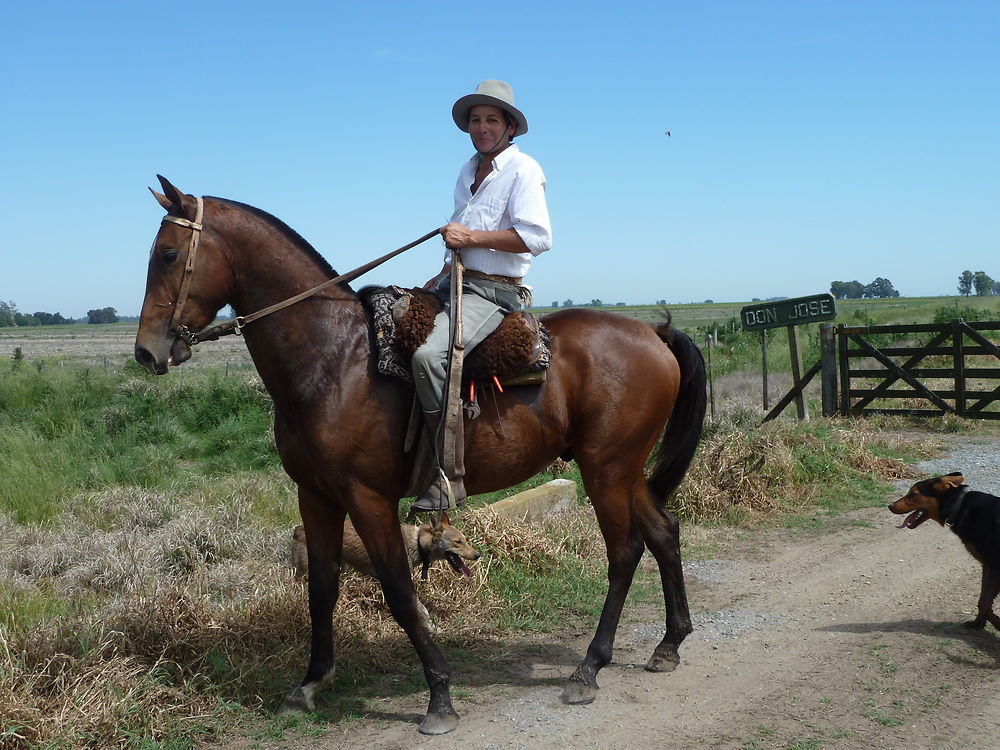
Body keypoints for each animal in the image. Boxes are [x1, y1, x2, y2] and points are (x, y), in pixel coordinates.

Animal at [290, 516, 480, 632]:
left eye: (465, 540)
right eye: (458, 542)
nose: (478, 555)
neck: (417, 542)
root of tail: (299, 529)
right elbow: (422, 610)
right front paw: (433, 628)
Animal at [892, 472, 1000, 632]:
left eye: (913, 494)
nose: (889, 506)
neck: (960, 507)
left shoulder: (994, 567)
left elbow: (985, 602)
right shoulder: (987, 566)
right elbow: (983, 600)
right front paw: (978, 624)